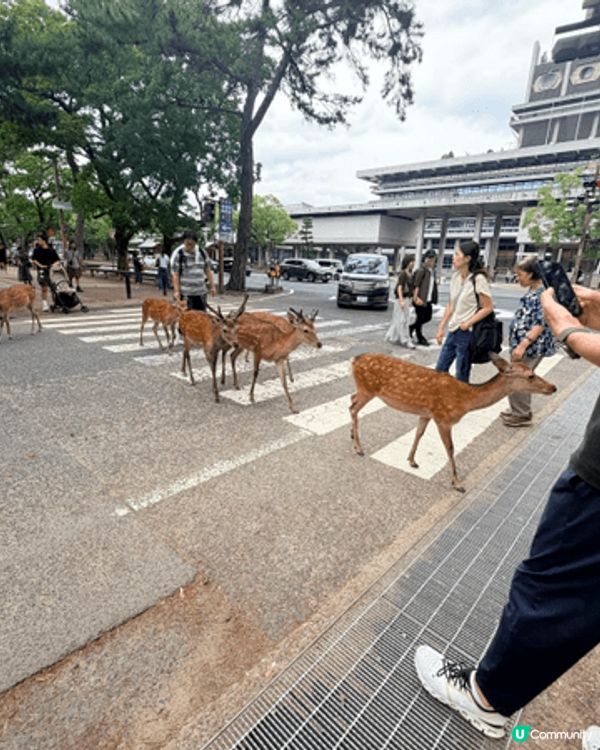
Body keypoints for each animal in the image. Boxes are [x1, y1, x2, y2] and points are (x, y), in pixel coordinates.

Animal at [350, 352, 557, 492]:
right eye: (530, 375)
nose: (553, 387)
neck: (464, 400)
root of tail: (355, 359)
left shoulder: (427, 413)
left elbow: (419, 433)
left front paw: (412, 460)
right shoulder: (443, 417)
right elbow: (450, 448)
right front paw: (457, 483)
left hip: (363, 389)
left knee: (351, 401)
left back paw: (353, 438)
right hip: (367, 389)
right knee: (353, 408)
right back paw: (358, 448)